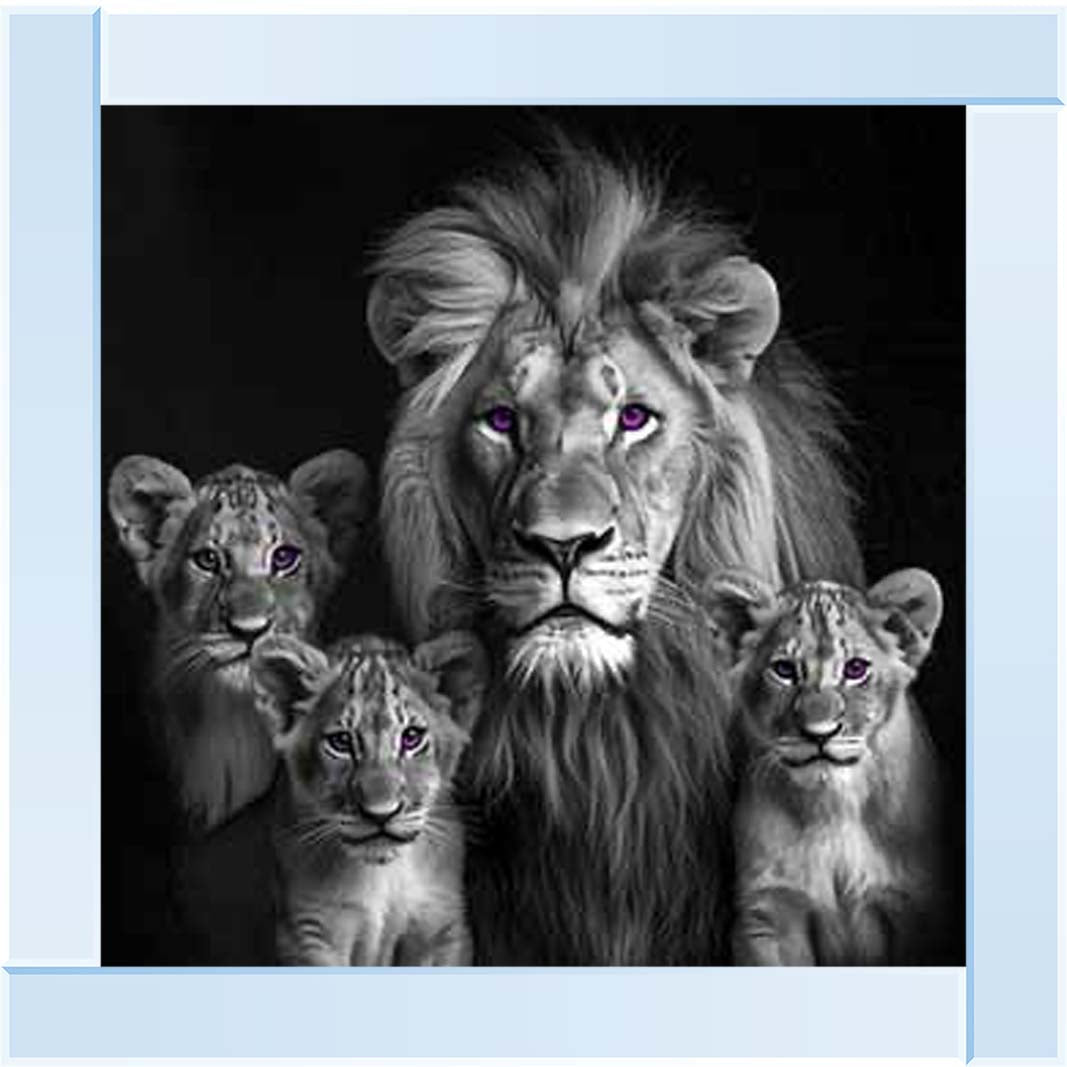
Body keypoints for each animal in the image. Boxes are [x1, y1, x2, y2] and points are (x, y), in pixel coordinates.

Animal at [250, 631, 485, 966]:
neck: (382, 875)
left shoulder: (442, 928)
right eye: (340, 742)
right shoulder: (308, 934)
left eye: (411, 737)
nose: (381, 814)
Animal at [704, 568, 947, 965]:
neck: (833, 805)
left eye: (856, 669)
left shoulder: (916, 908)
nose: (819, 733)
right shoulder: (769, 912)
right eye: (784, 670)